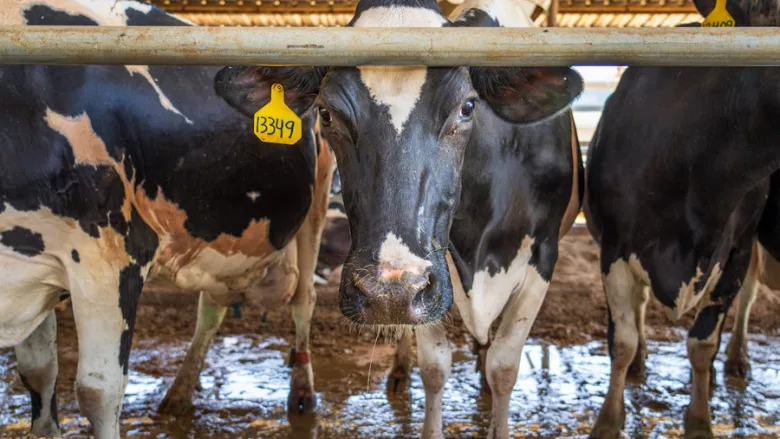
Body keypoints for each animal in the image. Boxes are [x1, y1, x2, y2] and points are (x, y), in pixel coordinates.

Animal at [0, 1, 334, 438]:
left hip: (318, 202)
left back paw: (302, 395)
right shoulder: (35, 264)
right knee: (212, 307)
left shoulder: (111, 257)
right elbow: (38, 372)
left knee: (303, 302)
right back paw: (178, 394)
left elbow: (97, 390)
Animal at [243, 1, 583, 437]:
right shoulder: (433, 277)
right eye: (326, 113)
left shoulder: (542, 255)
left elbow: (504, 366)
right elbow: (435, 366)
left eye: (467, 107)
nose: (389, 291)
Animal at [583, 0, 780, 437]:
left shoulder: (737, 250)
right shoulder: (614, 249)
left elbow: (702, 344)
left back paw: (733, 362)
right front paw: (608, 420)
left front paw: (700, 420)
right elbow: (621, 340)